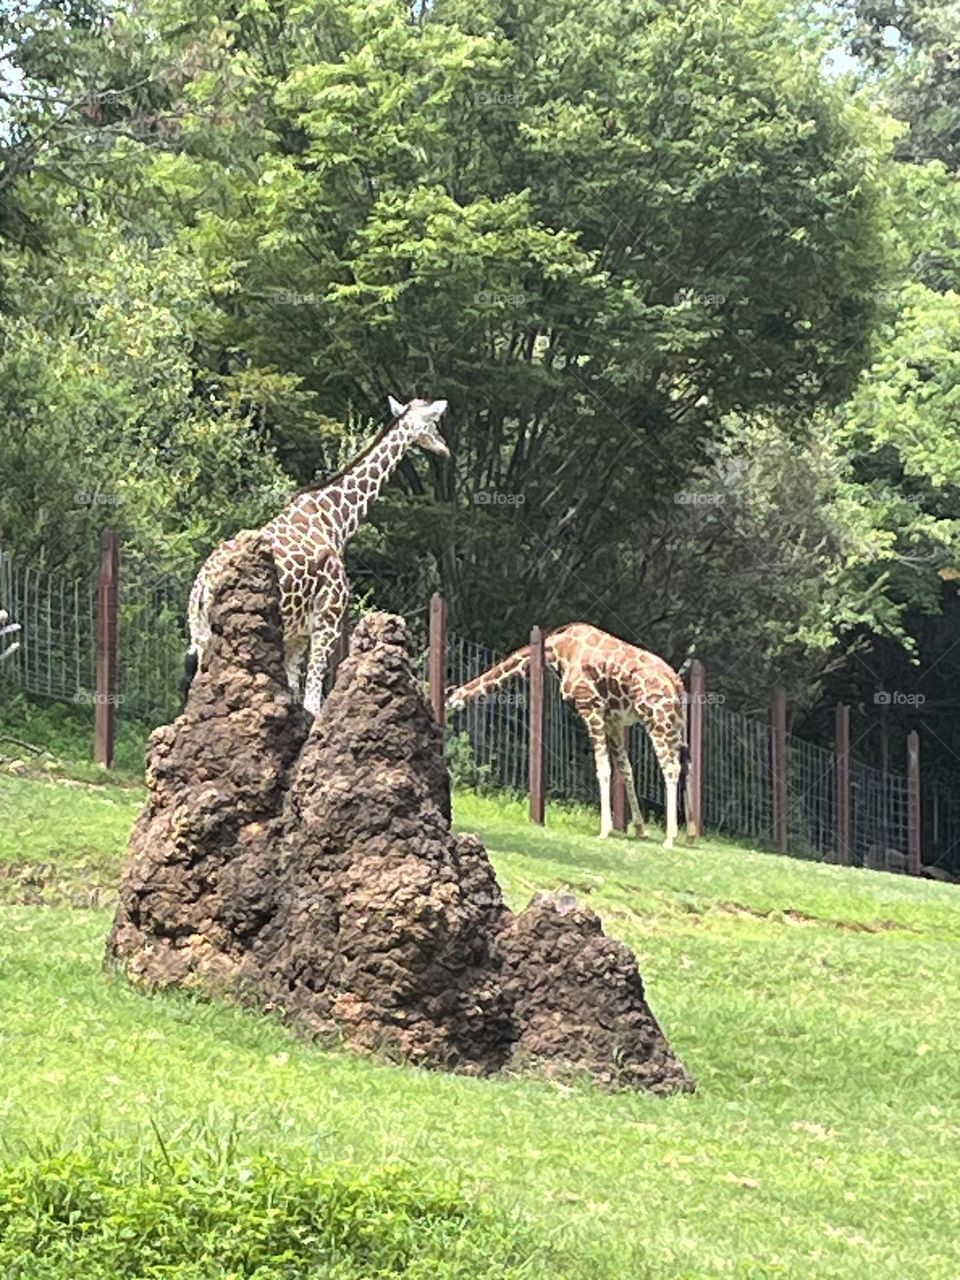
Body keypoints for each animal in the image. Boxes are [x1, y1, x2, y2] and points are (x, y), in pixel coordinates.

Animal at [186, 395, 448, 714]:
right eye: (434, 422)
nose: (445, 449)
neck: (337, 520)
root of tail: (203, 586)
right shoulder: (327, 621)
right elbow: (312, 704)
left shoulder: (297, 634)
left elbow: (295, 696)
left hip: (201, 636)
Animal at [447, 623, 692, 847]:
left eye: (448, 703)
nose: (444, 716)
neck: (557, 649)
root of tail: (677, 683)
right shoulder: (613, 721)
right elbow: (626, 771)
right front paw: (640, 829)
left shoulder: (590, 707)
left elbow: (603, 769)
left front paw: (604, 830)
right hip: (675, 726)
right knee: (682, 766)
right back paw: (686, 834)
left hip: (657, 721)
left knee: (671, 768)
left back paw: (670, 838)